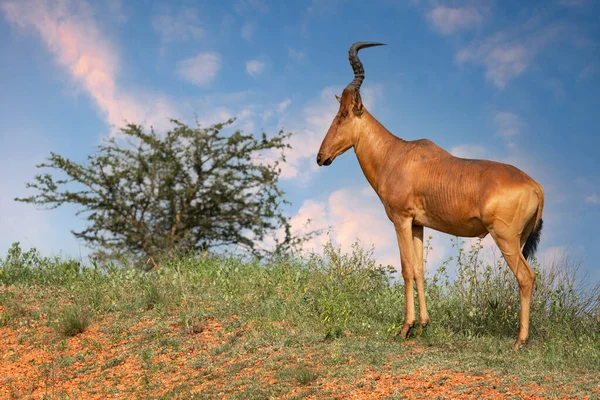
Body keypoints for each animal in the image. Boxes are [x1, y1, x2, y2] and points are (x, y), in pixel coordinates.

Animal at [318, 41, 544, 346]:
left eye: (342, 115)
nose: (321, 157)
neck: (398, 154)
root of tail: (535, 186)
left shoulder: (401, 220)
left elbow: (405, 269)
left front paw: (406, 327)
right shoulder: (418, 225)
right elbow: (419, 270)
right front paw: (423, 324)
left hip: (505, 238)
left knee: (526, 277)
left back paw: (520, 340)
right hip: (517, 240)